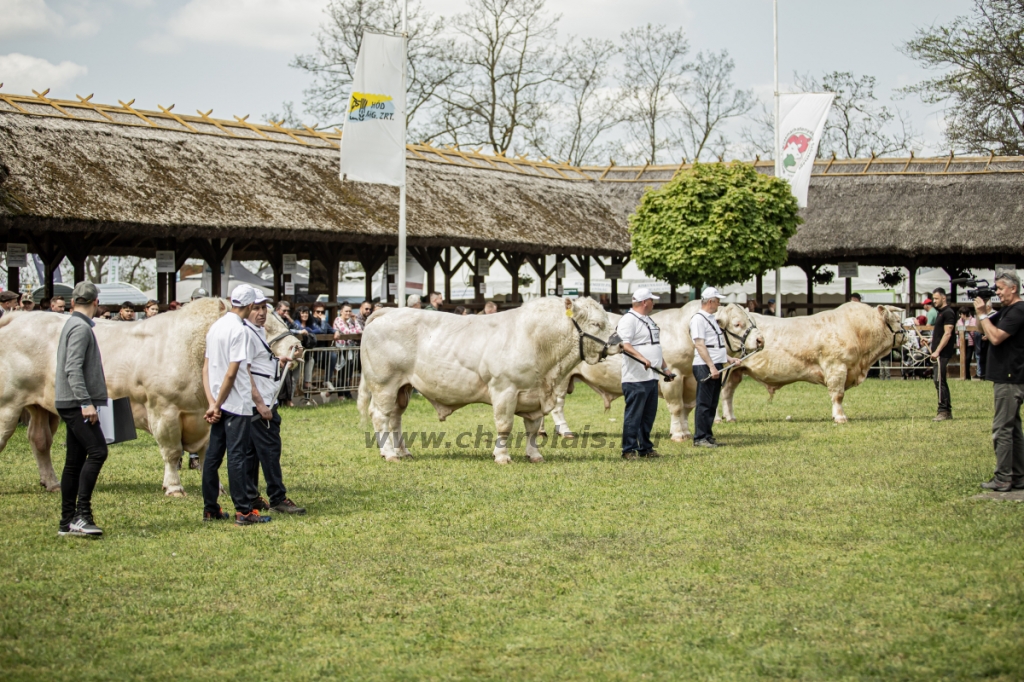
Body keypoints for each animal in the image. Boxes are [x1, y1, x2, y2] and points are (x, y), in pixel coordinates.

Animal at [0, 301, 303, 493]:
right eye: (259, 321)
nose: (297, 346)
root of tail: (17, 317)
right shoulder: (163, 409)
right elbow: (171, 452)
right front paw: (174, 487)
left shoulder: (206, 414)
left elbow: (208, 453)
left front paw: (215, 487)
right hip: (8, 403)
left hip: (42, 406)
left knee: (40, 441)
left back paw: (51, 483)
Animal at [356, 296, 618, 462]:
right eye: (596, 323)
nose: (618, 342)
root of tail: (388, 311)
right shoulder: (505, 389)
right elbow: (505, 425)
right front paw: (502, 456)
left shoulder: (534, 395)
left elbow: (533, 429)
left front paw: (534, 455)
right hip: (384, 384)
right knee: (380, 416)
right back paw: (390, 454)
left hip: (403, 388)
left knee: (395, 418)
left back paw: (403, 451)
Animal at [552, 301, 761, 438]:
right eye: (737, 323)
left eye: (752, 320)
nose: (760, 340)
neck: (684, 332)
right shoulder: (673, 376)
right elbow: (676, 406)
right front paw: (678, 434)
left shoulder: (691, 380)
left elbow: (687, 407)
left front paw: (685, 431)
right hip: (561, 378)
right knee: (558, 406)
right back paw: (565, 431)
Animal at [720, 301, 905, 419]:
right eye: (897, 320)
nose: (907, 333)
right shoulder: (836, 367)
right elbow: (838, 395)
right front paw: (840, 417)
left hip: (735, 371)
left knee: (728, 392)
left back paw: (730, 417)